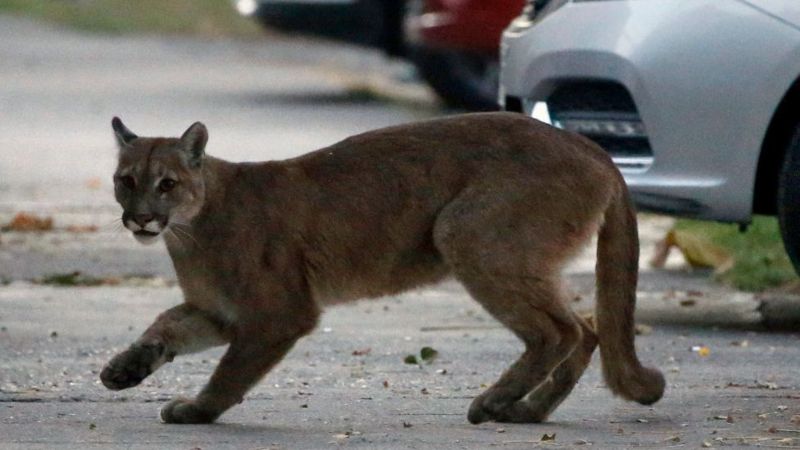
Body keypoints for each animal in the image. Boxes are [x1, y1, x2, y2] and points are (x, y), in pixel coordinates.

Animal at [98, 113, 664, 426]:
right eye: (126, 180)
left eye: (166, 183)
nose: (141, 217)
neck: (189, 229)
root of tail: (591, 146)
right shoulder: (221, 311)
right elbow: (166, 325)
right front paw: (125, 369)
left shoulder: (278, 314)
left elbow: (231, 371)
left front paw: (199, 410)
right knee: (587, 329)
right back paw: (527, 412)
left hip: (465, 233)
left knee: (558, 331)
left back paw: (494, 402)